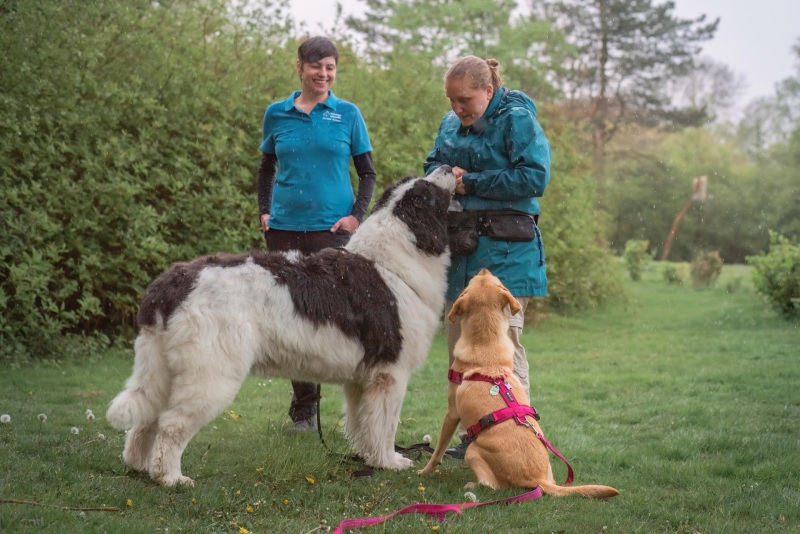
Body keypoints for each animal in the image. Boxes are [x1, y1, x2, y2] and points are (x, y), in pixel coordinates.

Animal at [107, 166, 456, 486]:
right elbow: (385, 424)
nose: (446, 167)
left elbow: (363, 424)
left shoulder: (362, 381)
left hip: (163, 368)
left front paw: (366, 458)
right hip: (210, 374)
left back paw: (138, 466)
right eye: (427, 191)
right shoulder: (390, 374)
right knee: (171, 423)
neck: (390, 262)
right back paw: (170, 478)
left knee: (147, 418)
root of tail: (173, 282)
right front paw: (389, 461)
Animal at [418, 270, 620, 500]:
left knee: (491, 486)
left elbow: (438, 450)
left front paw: (425, 470)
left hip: (473, 451)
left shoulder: (451, 413)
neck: (486, 349)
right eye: (495, 281)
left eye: (470, 283)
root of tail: (538, 479)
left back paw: (472, 485)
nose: (484, 269)